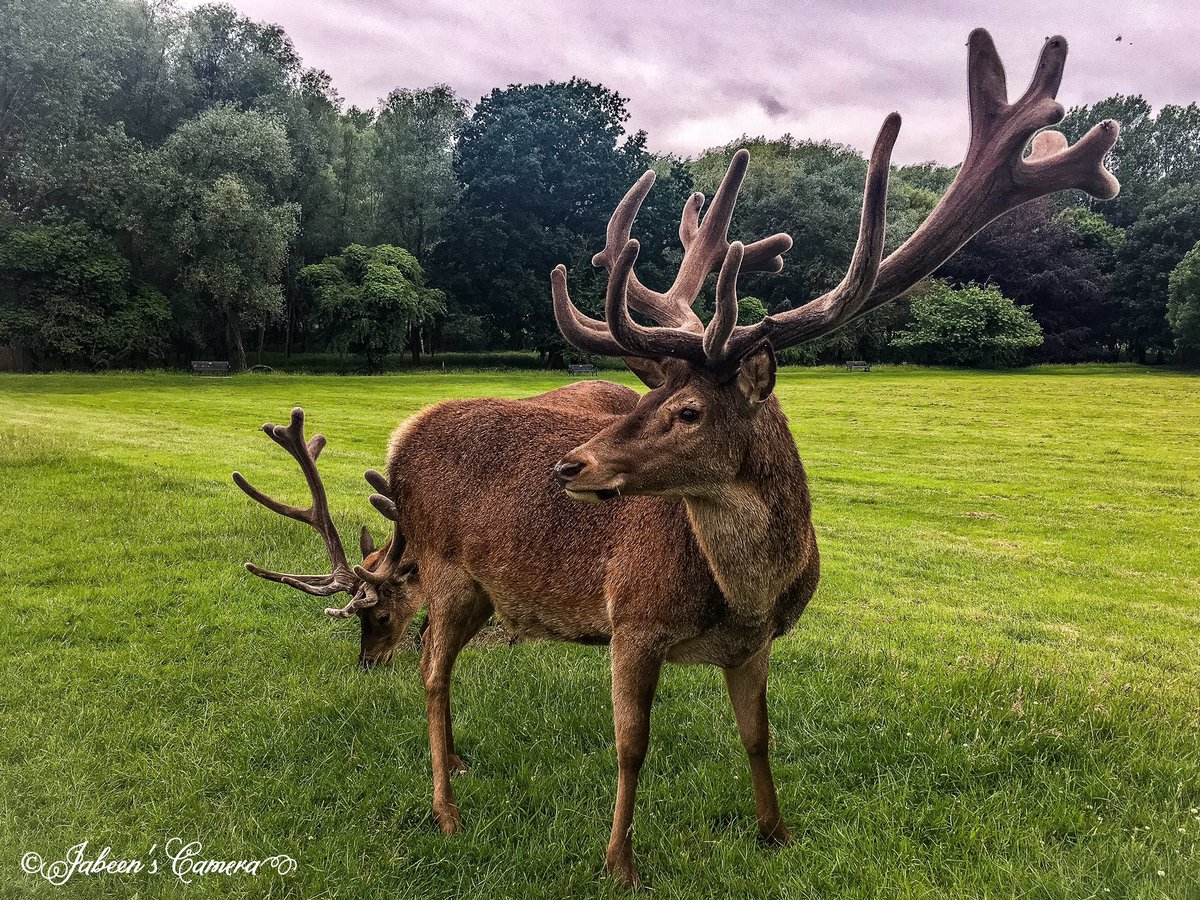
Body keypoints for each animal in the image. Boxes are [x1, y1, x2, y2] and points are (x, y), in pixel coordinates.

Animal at [233, 30, 1119, 888]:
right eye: (647, 398)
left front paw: (776, 834)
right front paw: (619, 863)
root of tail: (404, 434)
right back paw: (445, 810)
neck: (743, 595)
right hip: (444, 570)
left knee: (432, 658)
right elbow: (632, 745)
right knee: (431, 669)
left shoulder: (757, 646)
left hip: (483, 588)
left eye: (686, 409)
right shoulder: (633, 619)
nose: (571, 466)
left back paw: (458, 766)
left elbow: (759, 737)